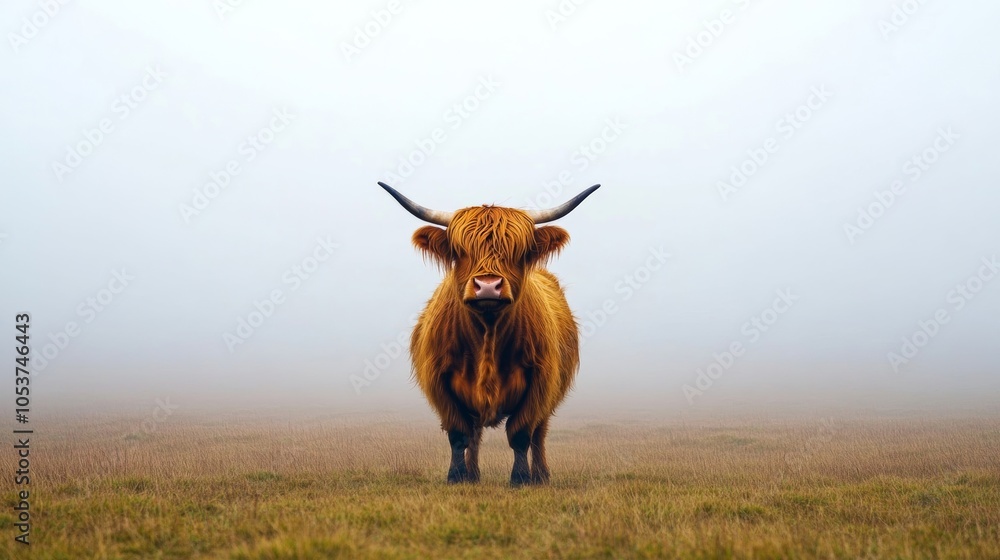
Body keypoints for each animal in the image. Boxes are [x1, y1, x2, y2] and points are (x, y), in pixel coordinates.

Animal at [379, 181, 599, 486]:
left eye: (519, 251)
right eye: (460, 250)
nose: (487, 286)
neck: (487, 333)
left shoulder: (540, 380)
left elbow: (521, 433)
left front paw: (521, 478)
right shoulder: (439, 380)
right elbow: (459, 433)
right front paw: (457, 476)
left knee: (539, 433)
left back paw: (541, 475)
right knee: (475, 432)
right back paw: (472, 473)